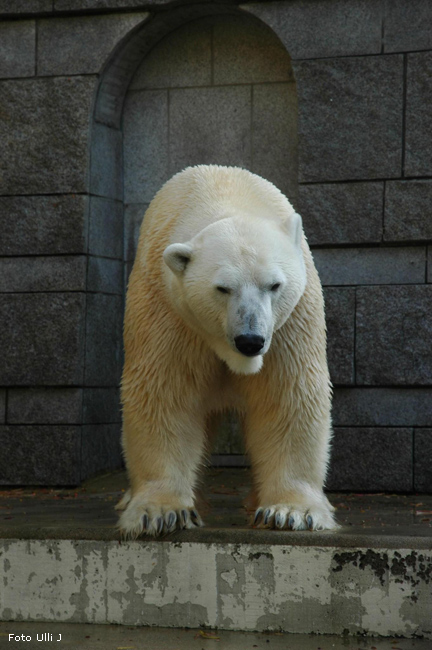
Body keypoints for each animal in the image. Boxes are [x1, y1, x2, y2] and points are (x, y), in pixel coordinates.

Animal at [118, 165, 338, 536]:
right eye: (222, 288)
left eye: (274, 285)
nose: (250, 340)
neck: (224, 194)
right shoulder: (171, 313)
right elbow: (165, 394)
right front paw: (160, 512)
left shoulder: (289, 326)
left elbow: (287, 397)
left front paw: (290, 511)